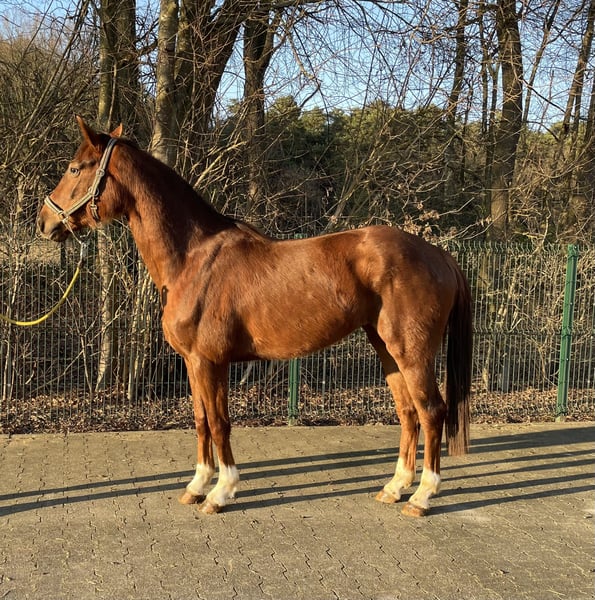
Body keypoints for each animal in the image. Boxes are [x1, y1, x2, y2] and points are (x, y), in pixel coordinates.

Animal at [38, 117, 472, 517]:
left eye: (75, 168)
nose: (44, 220)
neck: (194, 259)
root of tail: (439, 254)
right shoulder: (194, 363)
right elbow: (201, 419)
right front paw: (197, 485)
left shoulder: (209, 362)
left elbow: (219, 422)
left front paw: (221, 492)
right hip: (385, 348)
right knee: (408, 412)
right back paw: (395, 487)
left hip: (411, 352)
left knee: (431, 411)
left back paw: (421, 496)